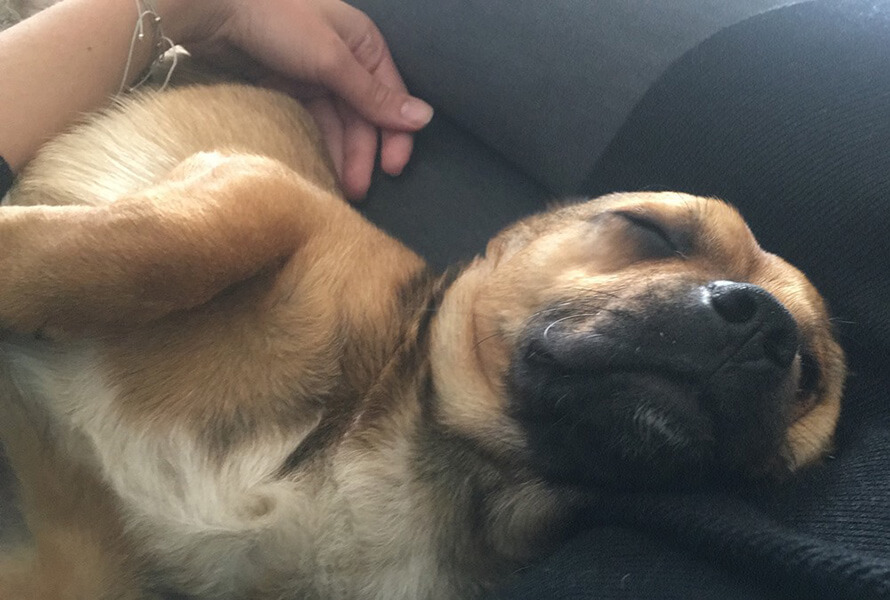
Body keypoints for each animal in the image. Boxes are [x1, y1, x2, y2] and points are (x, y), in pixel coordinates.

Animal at [0, 83, 846, 600]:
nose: (762, 323)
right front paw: (16, 257)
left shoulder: (83, 562)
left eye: (809, 371)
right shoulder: (256, 185)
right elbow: (174, 243)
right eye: (650, 230)